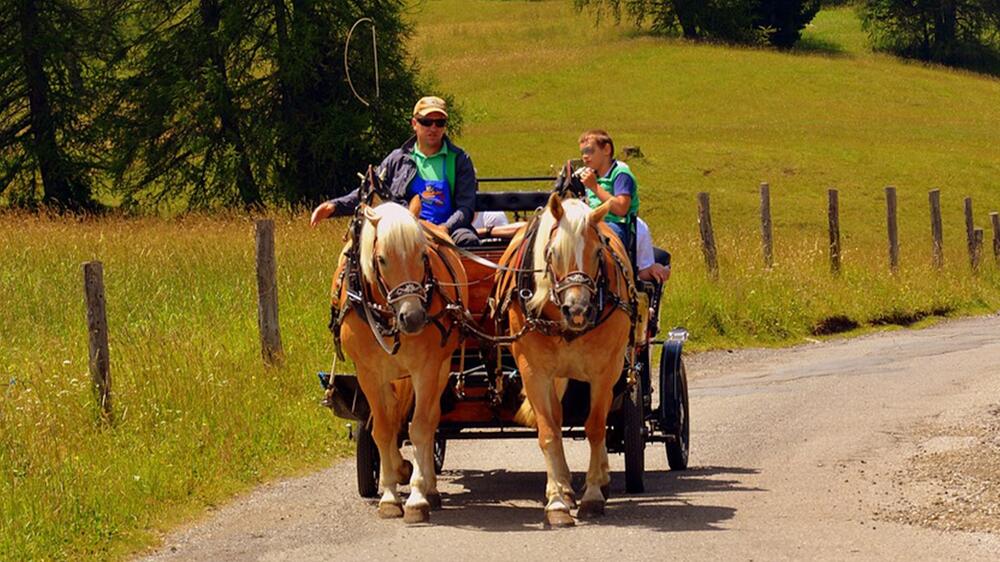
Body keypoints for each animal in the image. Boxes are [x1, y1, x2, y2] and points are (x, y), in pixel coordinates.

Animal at [330, 198, 466, 520]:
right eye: (381, 259)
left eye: (423, 255)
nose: (413, 317)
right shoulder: (368, 373)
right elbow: (382, 429)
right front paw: (391, 495)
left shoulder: (426, 368)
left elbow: (420, 428)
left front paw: (417, 497)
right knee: (391, 417)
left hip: (440, 368)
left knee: (431, 420)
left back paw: (429, 486)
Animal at [496, 191, 636, 524]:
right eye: (552, 252)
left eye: (598, 252)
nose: (578, 310)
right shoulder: (533, 372)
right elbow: (548, 431)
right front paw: (558, 500)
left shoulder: (605, 372)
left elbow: (596, 428)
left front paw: (594, 494)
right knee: (557, 421)